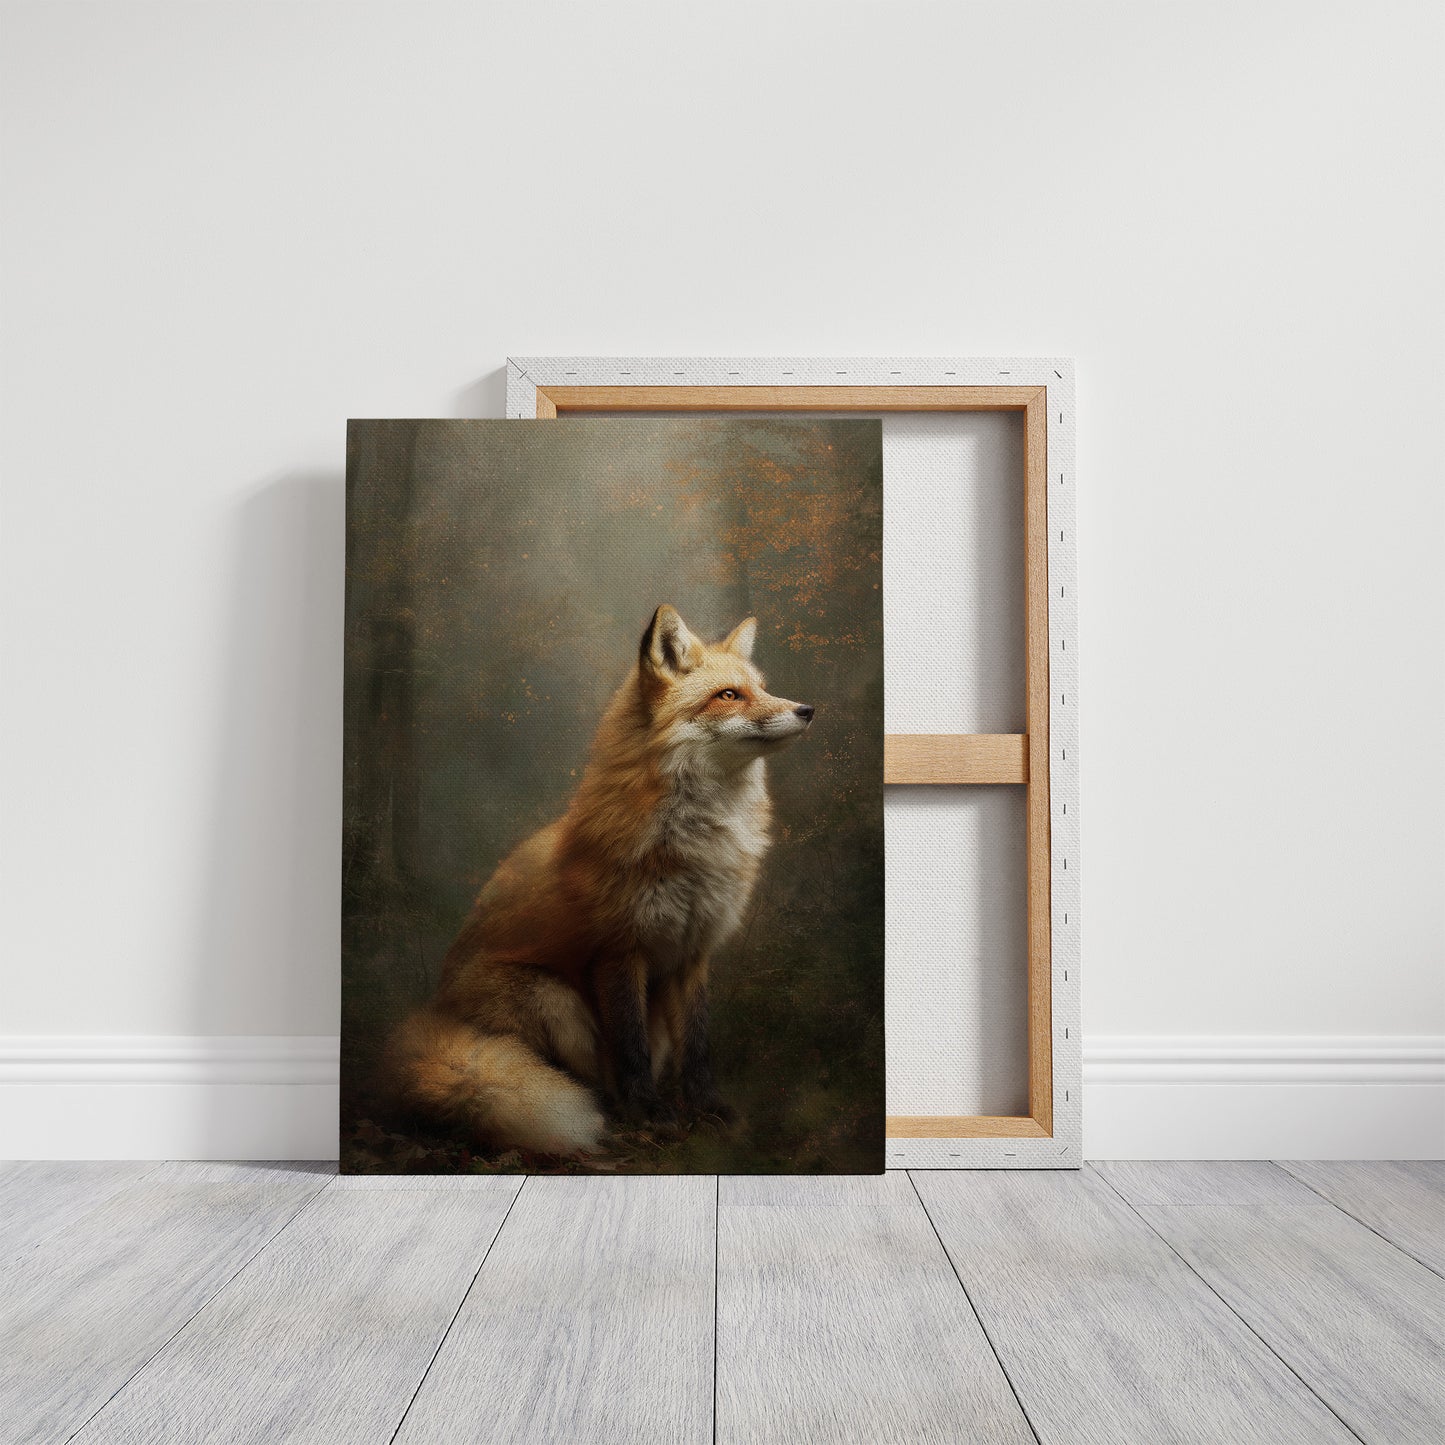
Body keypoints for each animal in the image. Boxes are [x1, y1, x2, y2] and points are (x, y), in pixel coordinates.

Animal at [384, 604, 815, 1156]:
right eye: (728, 695)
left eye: (762, 687)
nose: (807, 709)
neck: (693, 844)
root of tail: (438, 1014)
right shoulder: (619, 950)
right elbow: (630, 1049)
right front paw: (649, 1113)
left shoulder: (694, 951)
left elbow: (697, 1047)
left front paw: (707, 1112)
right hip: (553, 999)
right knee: (586, 1077)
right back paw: (607, 1120)